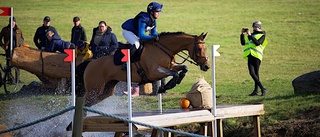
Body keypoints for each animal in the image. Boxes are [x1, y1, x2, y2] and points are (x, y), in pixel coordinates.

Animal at [78, 31, 210, 106]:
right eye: (199, 49)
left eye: (206, 48)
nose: (207, 66)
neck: (163, 48)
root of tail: (90, 63)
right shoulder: (153, 72)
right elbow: (174, 73)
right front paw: (166, 86)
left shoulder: (169, 66)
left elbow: (184, 68)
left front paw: (170, 84)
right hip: (94, 89)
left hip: (106, 90)